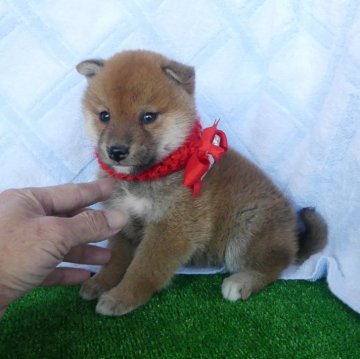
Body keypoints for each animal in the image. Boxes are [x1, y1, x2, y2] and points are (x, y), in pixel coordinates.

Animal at [76, 50, 326, 316]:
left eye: (148, 117)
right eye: (104, 116)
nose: (116, 151)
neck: (144, 176)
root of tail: (292, 236)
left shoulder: (171, 229)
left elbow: (143, 269)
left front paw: (122, 296)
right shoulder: (124, 221)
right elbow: (114, 259)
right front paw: (100, 282)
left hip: (247, 229)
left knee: (275, 263)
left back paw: (242, 282)